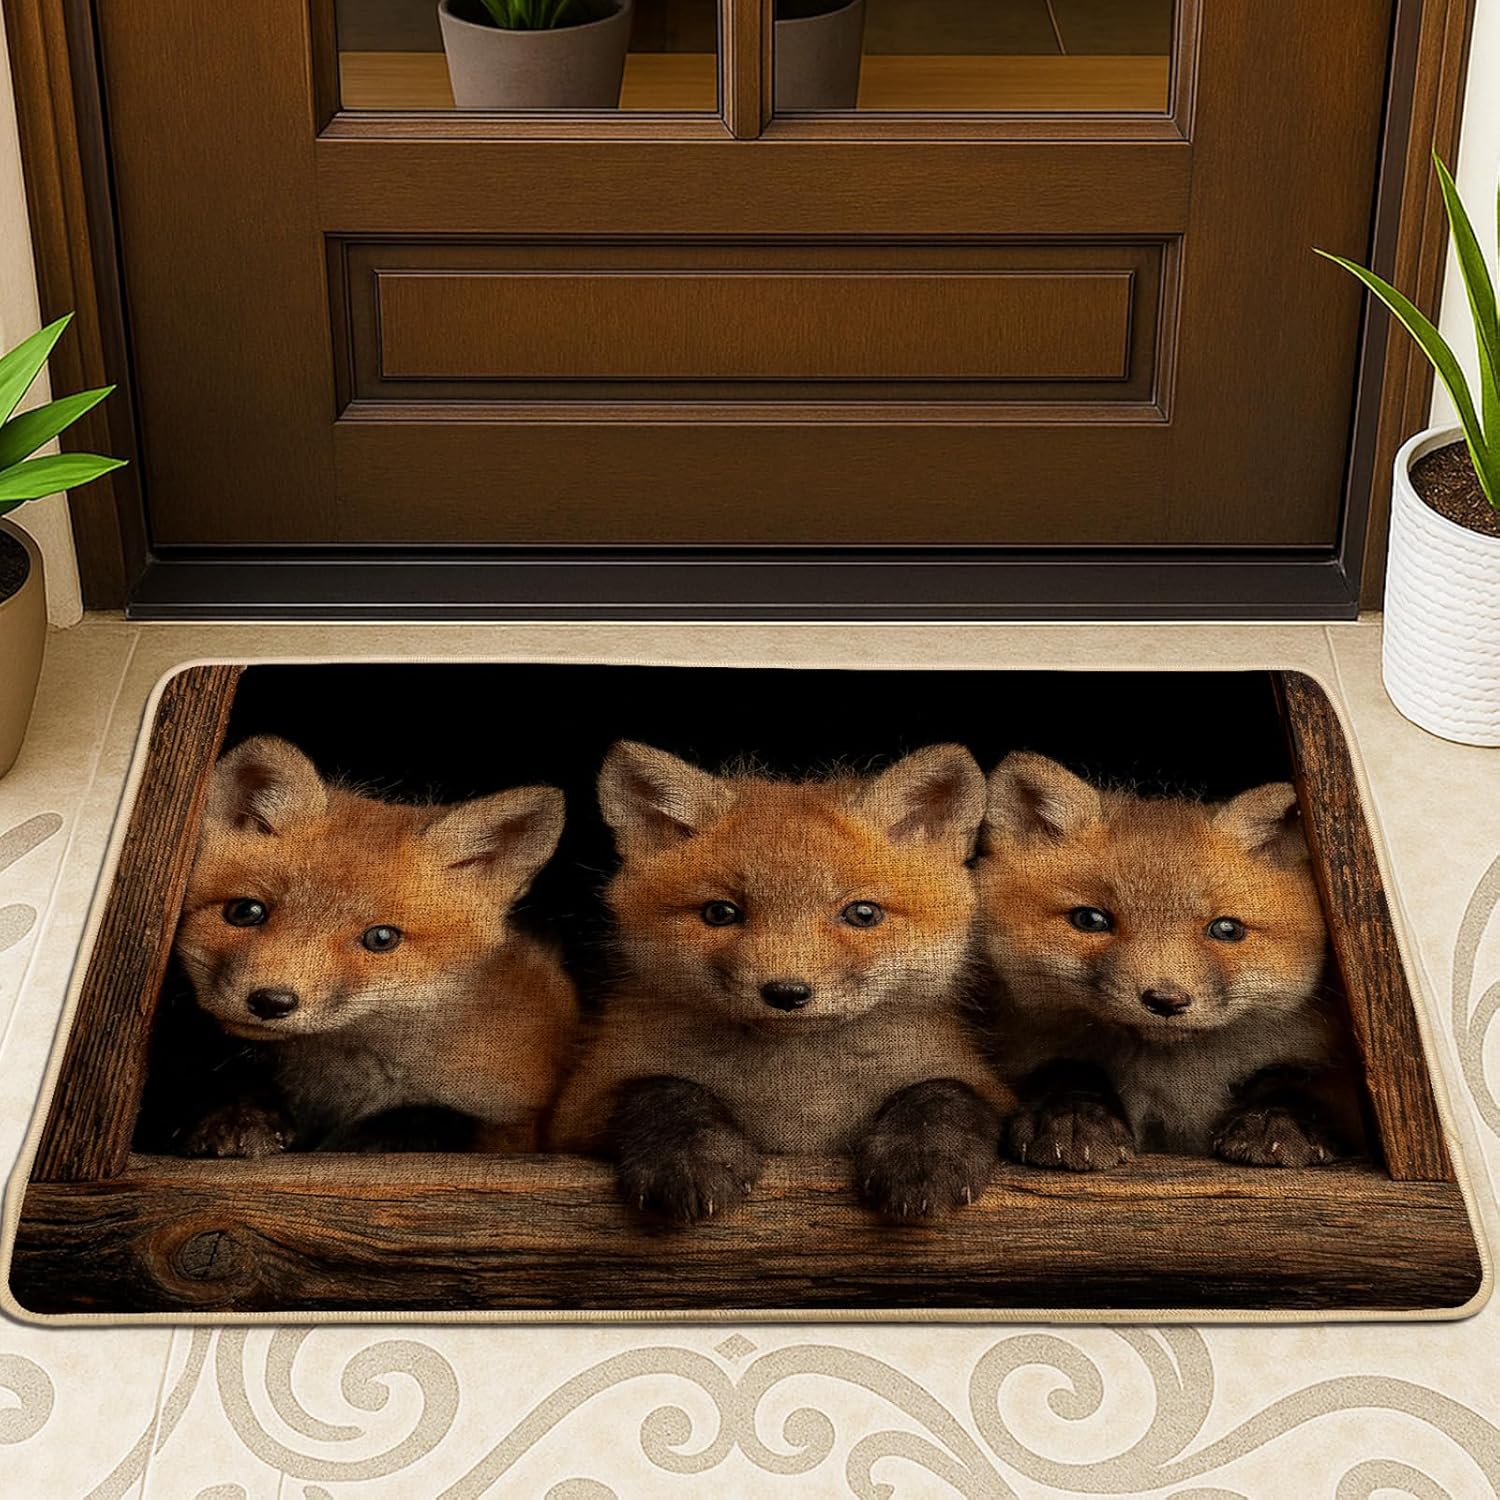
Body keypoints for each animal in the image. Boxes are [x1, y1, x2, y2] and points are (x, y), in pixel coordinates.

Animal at [174, 734, 577, 1157]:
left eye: (381, 938)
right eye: (245, 911)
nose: (270, 1001)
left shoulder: (516, 1122)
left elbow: (436, 1120)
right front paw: (237, 1115)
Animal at [549, 740, 1013, 1224]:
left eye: (863, 914)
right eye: (720, 913)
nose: (786, 993)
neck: (796, 1092)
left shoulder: (976, 1080)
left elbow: (943, 1094)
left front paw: (926, 1157)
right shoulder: (579, 1108)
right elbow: (662, 1092)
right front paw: (688, 1158)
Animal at [974, 752, 1363, 1171]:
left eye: (1226, 929)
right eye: (1090, 920)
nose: (1166, 1001)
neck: (1168, 1084)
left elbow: (1291, 1080)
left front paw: (1277, 1121)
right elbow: (1065, 1070)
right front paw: (1071, 1117)